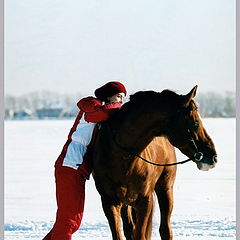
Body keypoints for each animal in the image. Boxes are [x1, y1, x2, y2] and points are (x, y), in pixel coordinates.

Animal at [92, 85, 218, 239]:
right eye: (195, 123)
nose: (213, 157)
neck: (123, 158)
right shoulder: (109, 203)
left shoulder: (145, 201)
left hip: (165, 188)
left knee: (165, 230)